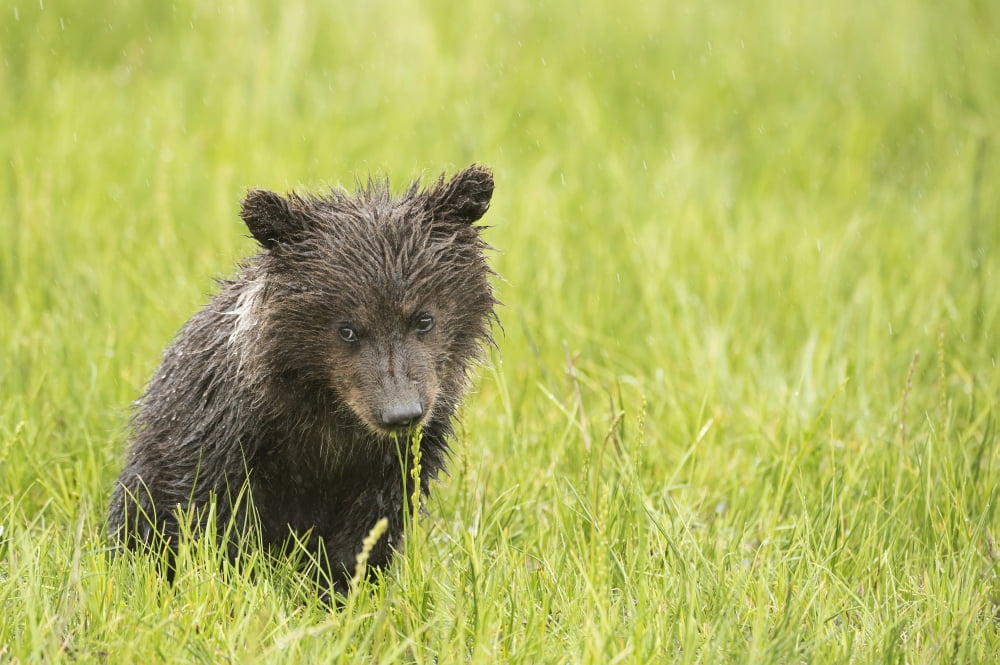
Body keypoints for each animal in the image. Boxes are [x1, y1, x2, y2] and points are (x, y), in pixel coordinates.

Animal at [107, 164, 497, 595]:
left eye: (424, 318)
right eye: (347, 328)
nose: (400, 413)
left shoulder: (398, 456)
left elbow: (370, 527)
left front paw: (341, 588)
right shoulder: (224, 435)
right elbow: (210, 519)